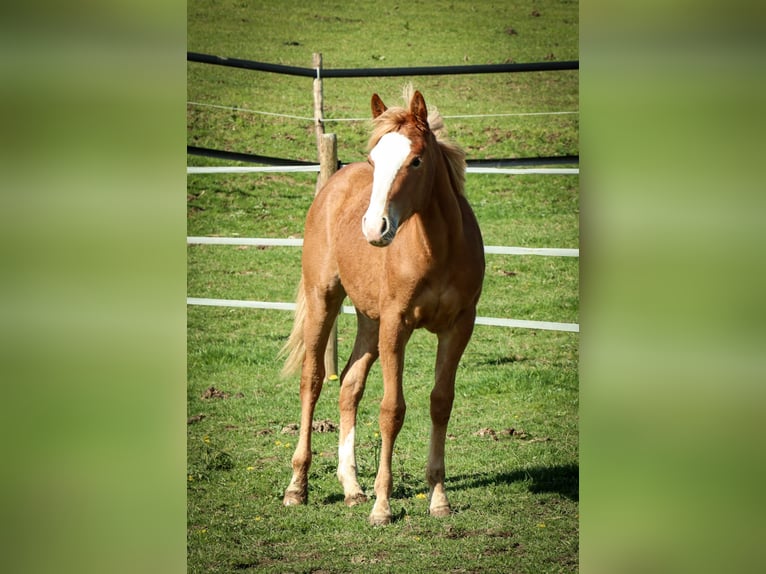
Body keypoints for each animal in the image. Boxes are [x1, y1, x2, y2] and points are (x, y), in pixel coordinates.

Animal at [280, 86, 485, 525]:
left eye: (416, 160)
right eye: (375, 160)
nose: (375, 228)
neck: (437, 249)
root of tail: (333, 183)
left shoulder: (459, 326)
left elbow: (441, 403)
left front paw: (438, 499)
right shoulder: (396, 325)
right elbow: (392, 410)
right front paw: (382, 506)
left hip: (368, 320)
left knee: (349, 385)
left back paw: (352, 488)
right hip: (324, 300)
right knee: (313, 380)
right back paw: (297, 487)